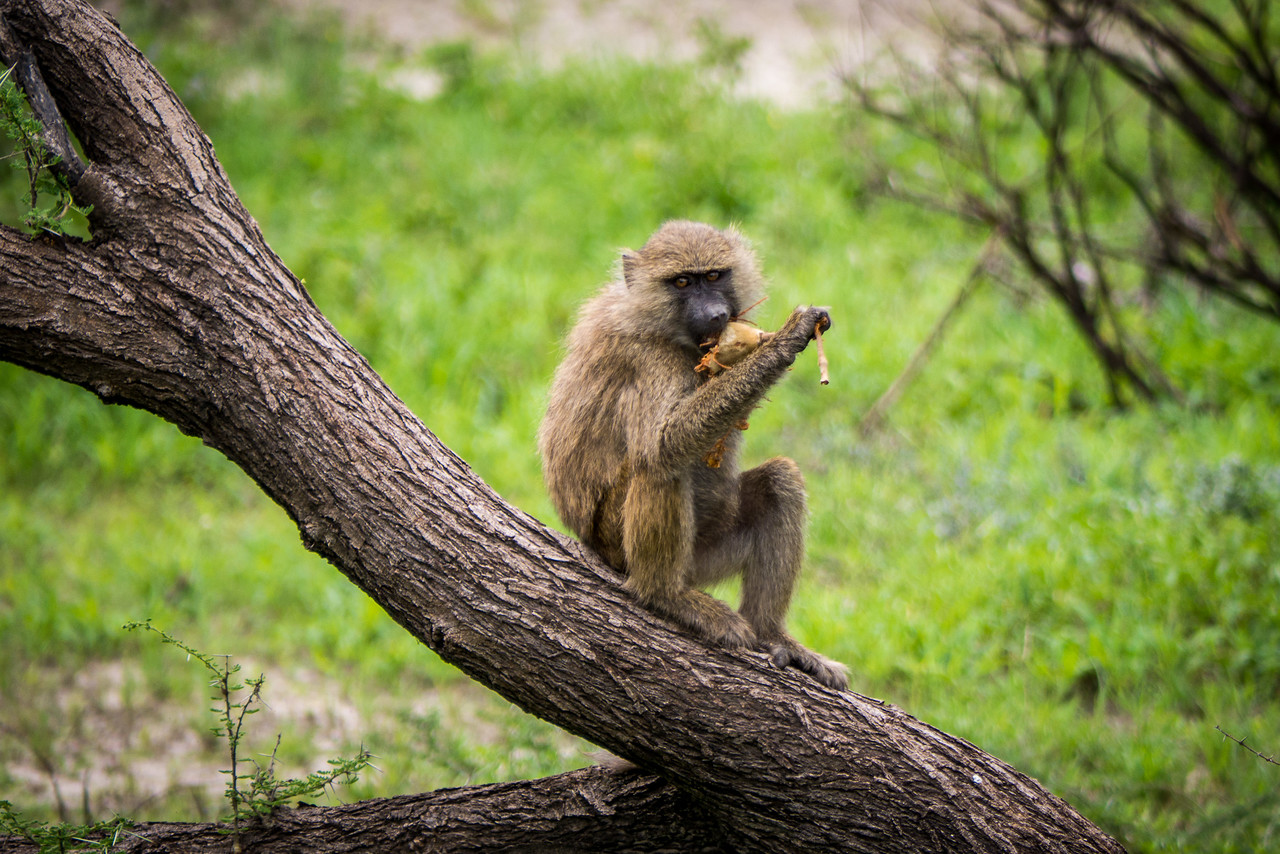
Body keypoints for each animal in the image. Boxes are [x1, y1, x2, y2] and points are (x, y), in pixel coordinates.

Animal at [539, 220, 849, 691]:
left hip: (705, 552)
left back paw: (773, 635)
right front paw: (783, 341)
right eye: (683, 282)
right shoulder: (647, 357)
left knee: (780, 479)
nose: (717, 315)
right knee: (658, 467)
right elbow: (664, 442)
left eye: (715, 276)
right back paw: (666, 596)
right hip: (617, 543)